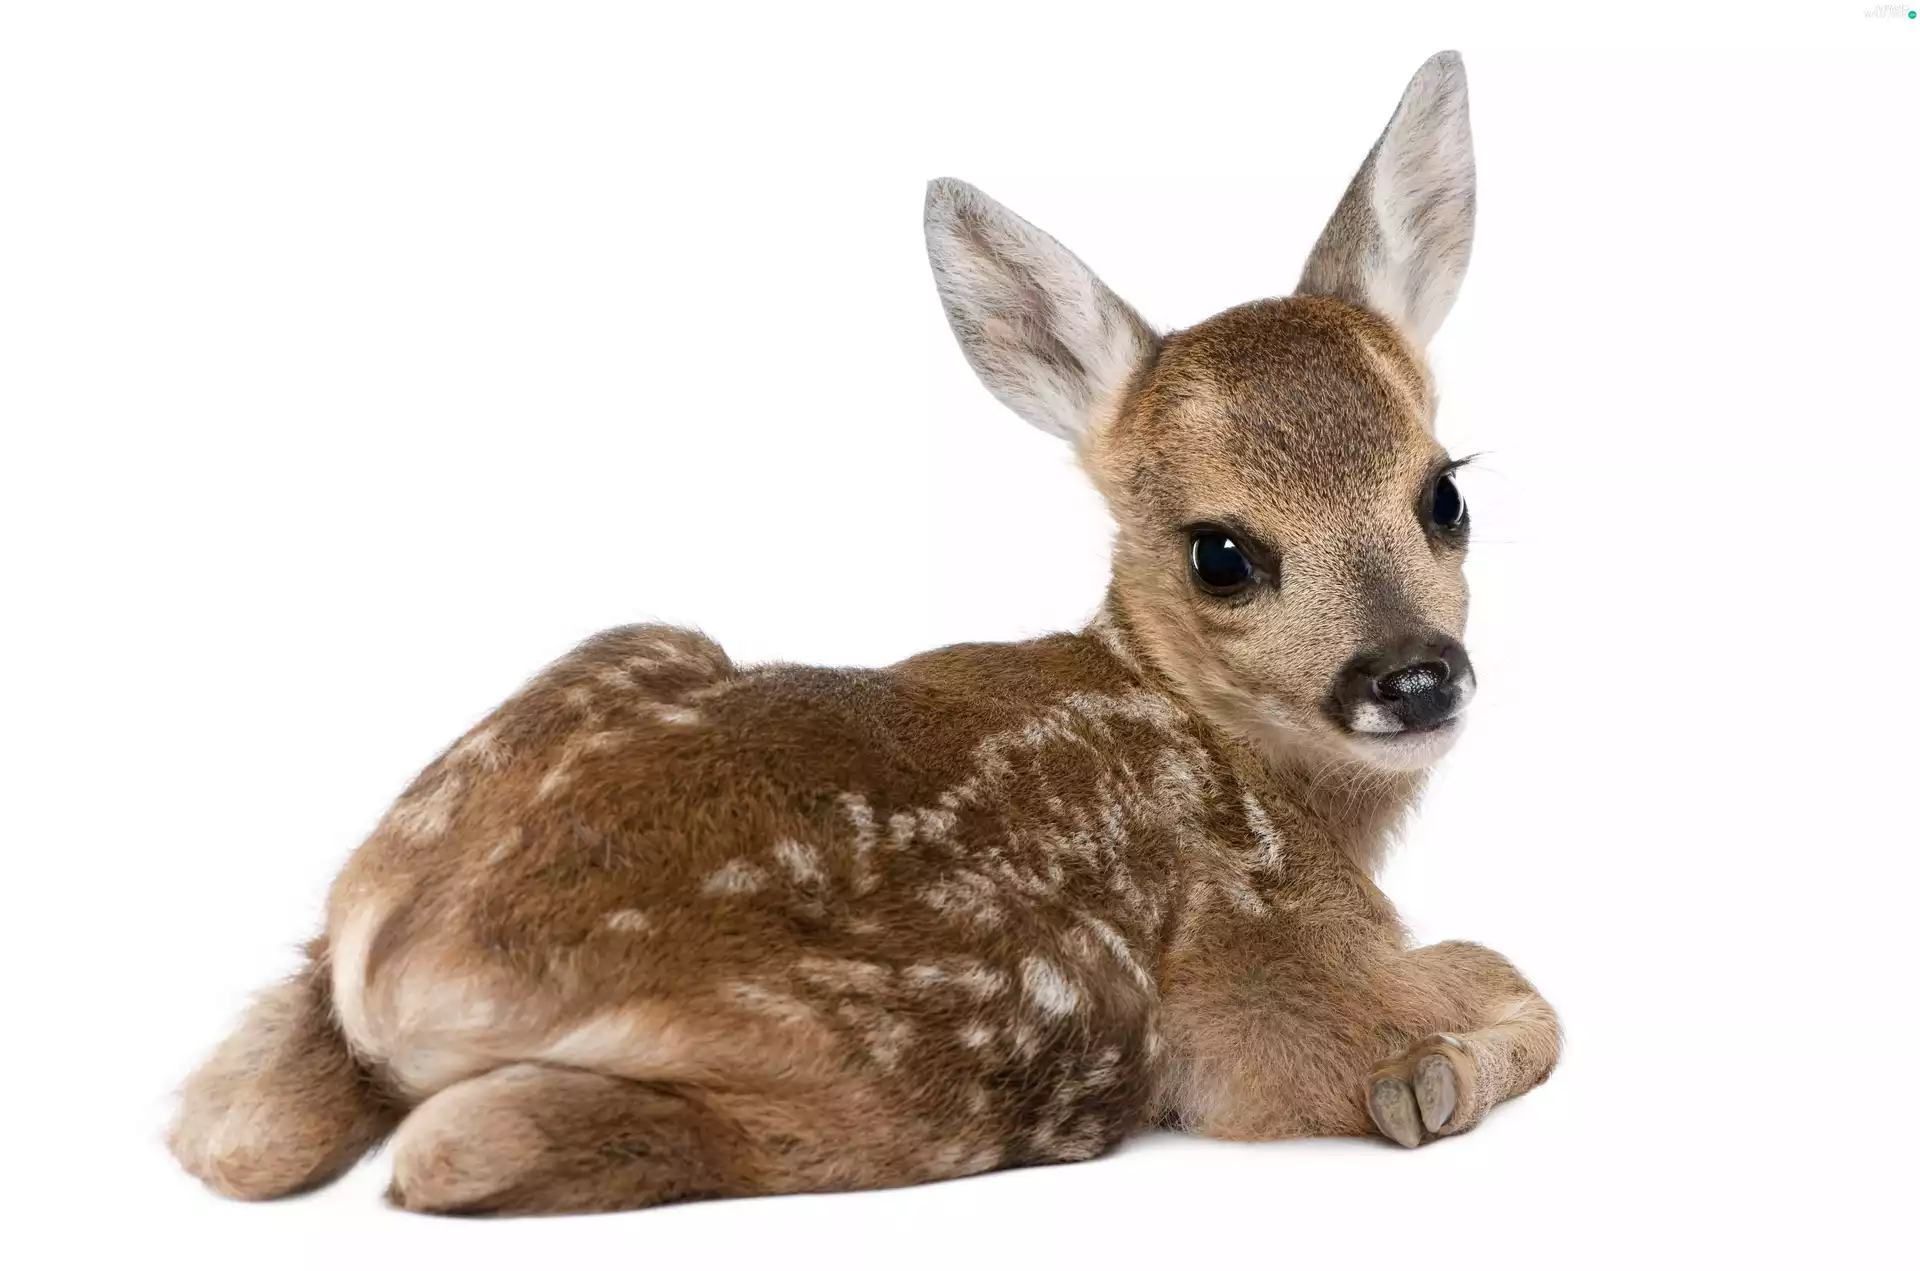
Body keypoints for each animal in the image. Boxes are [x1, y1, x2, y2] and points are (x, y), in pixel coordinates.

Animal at [168, 50, 1559, 1216]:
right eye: (1222, 551)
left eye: (1446, 495)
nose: (1413, 676)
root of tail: (410, 965)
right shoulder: (1253, 983)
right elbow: (1513, 989)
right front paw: (1431, 1079)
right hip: (998, 1031)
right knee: (461, 1142)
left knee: (228, 1131)